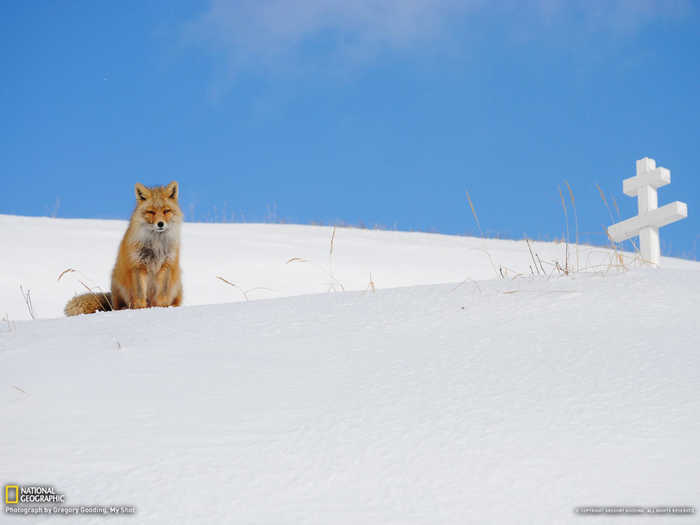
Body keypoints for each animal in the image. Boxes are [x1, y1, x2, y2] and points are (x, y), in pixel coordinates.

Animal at [65, 180, 183, 316]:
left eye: (166, 211)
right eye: (151, 212)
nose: (160, 224)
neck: (156, 244)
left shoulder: (167, 264)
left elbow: (163, 293)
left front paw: (162, 308)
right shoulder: (138, 266)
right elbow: (140, 295)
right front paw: (140, 309)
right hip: (117, 282)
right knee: (118, 306)